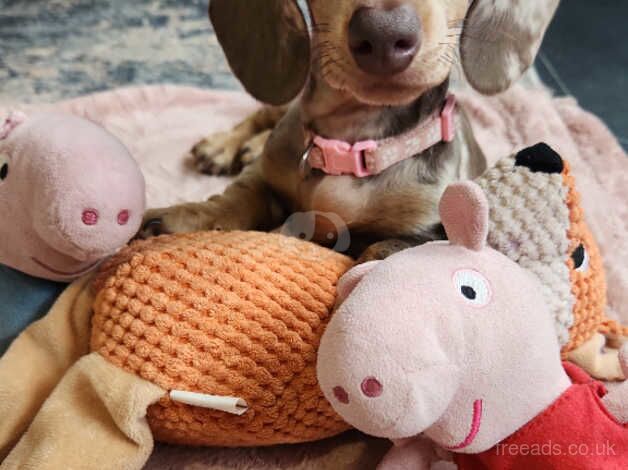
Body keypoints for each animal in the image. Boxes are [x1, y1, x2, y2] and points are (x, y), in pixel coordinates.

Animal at [141, 0, 560, 260]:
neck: (353, 144)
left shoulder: (431, 232)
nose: (384, 34)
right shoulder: (267, 175)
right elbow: (237, 197)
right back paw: (225, 146)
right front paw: (181, 219)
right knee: (265, 113)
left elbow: (378, 251)